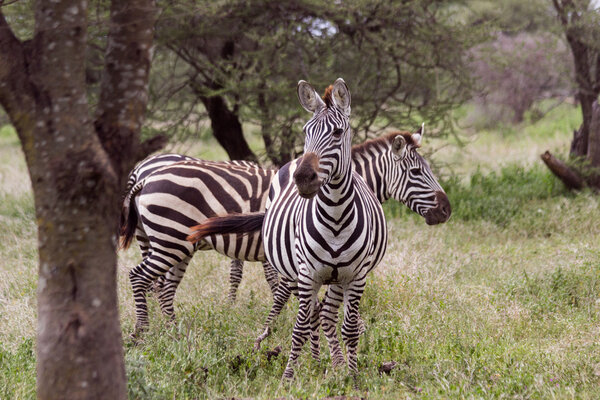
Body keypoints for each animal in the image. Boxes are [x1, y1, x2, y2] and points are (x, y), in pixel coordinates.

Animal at [190, 78, 442, 378]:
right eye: (416, 172)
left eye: (338, 132)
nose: (446, 209)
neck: (336, 216)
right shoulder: (305, 272)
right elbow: (301, 319)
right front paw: (289, 370)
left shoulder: (351, 275)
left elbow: (339, 322)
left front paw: (345, 372)